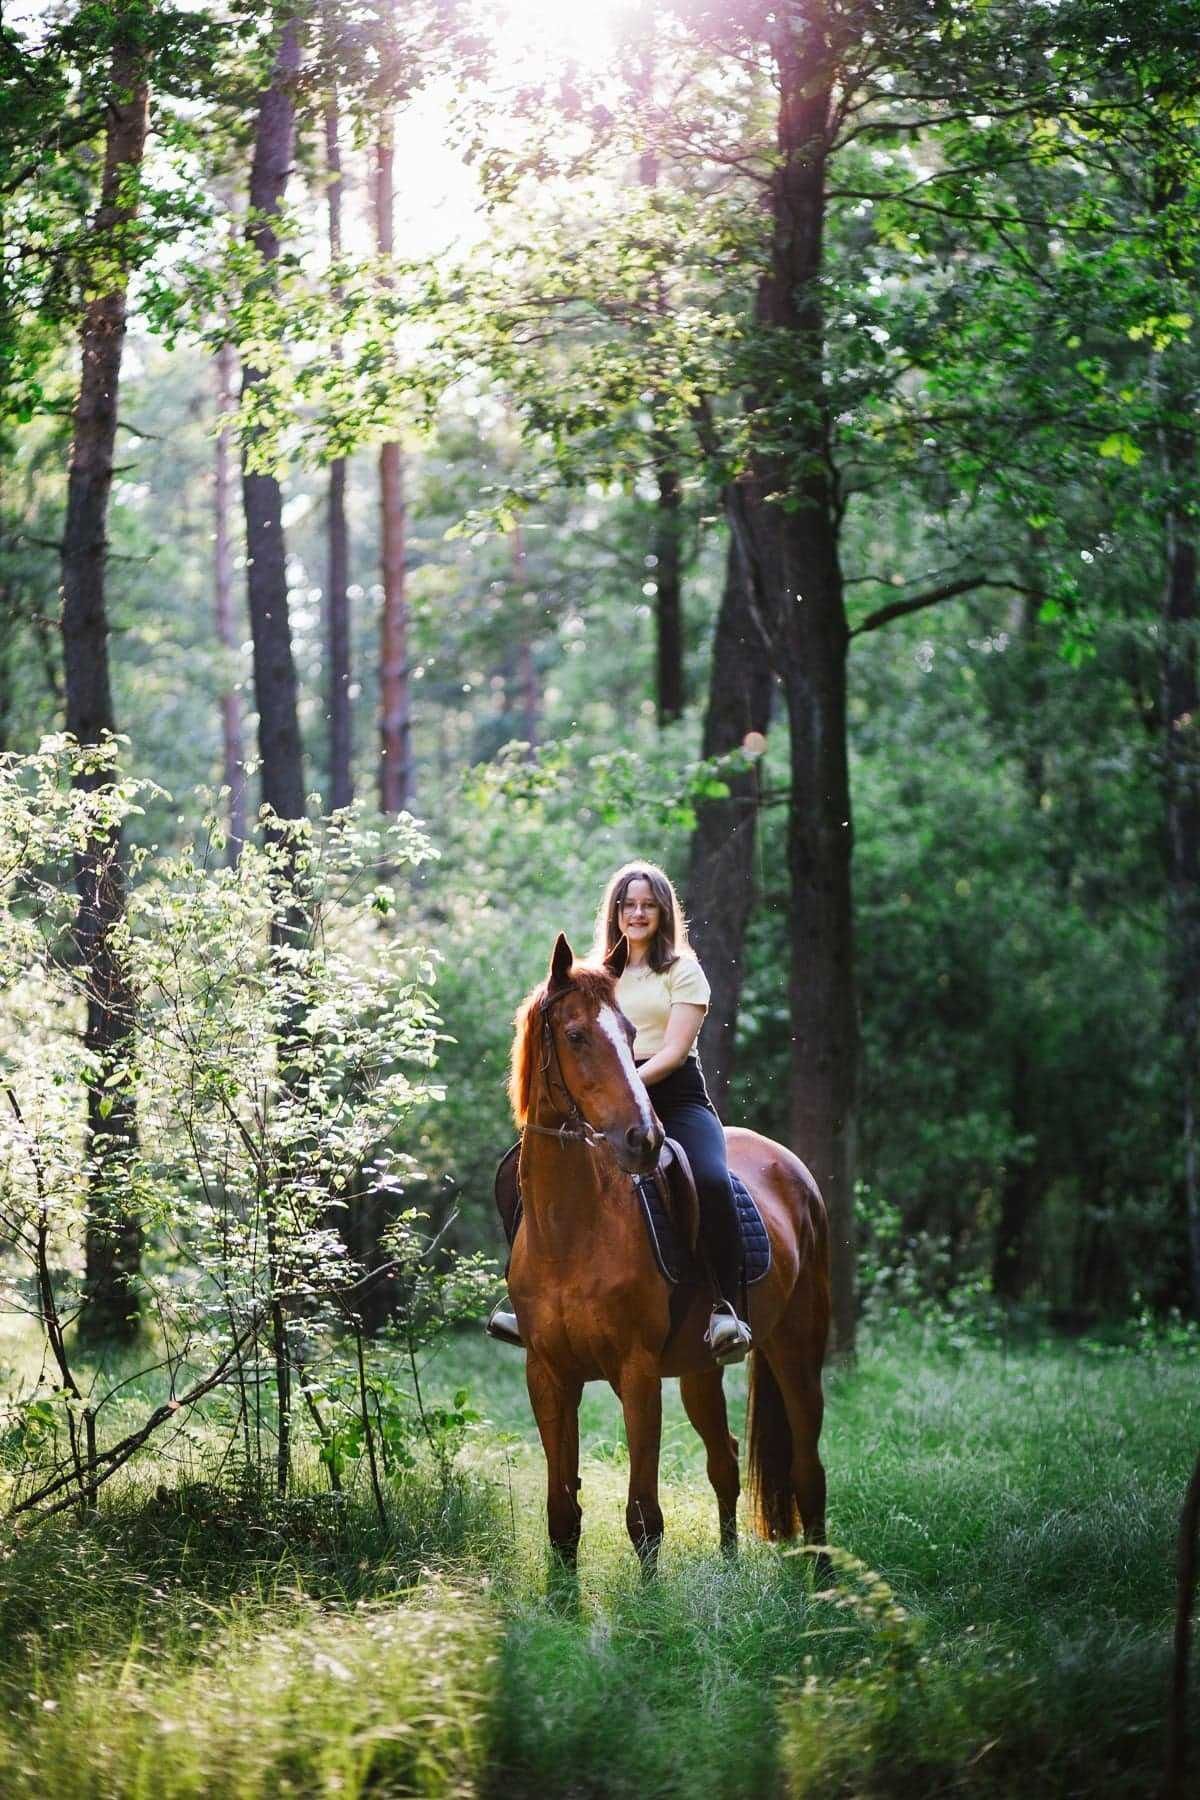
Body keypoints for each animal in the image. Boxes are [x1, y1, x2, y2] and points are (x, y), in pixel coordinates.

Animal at [503, 936, 827, 1569]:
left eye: (630, 1034)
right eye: (575, 1035)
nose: (643, 1139)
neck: (570, 1231)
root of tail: (793, 1167)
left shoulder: (637, 1372)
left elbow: (645, 1517)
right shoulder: (547, 1374)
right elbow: (562, 1515)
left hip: (798, 1353)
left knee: (809, 1472)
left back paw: (827, 1580)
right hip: (701, 1369)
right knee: (725, 1460)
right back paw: (729, 1566)